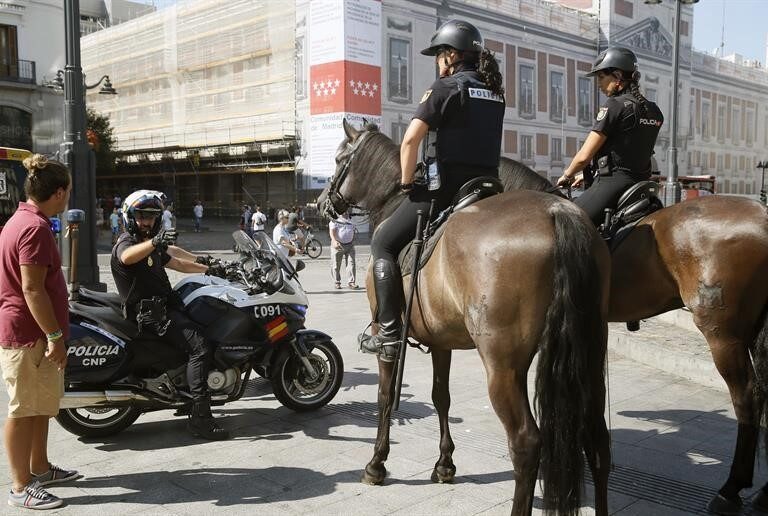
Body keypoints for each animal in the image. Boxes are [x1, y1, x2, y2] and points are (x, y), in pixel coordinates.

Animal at [322, 119, 612, 512]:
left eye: (340, 159)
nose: (322, 203)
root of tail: (558, 212)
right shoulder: (440, 340)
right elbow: (440, 396)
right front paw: (445, 464)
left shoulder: (388, 340)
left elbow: (384, 395)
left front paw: (376, 464)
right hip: (588, 353)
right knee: (597, 440)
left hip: (503, 365)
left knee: (526, 442)